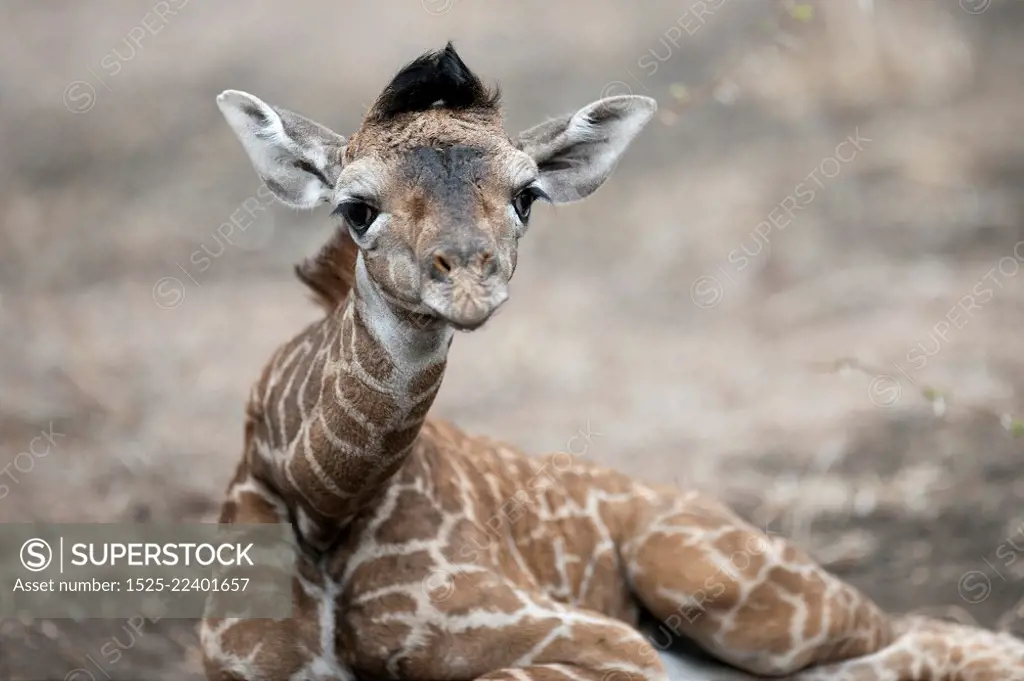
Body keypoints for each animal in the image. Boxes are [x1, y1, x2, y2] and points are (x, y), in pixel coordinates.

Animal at [201, 45, 1024, 675]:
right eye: (356, 207)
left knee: (916, 633)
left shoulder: (603, 640)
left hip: (731, 589)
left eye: (527, 196)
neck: (320, 498)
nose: (469, 280)